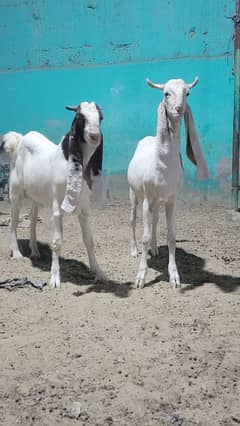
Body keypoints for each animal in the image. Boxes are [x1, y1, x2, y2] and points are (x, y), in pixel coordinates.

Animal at [0, 103, 106, 288]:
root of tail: (20, 139)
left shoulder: (84, 208)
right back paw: (17, 253)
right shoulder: (57, 207)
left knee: (32, 218)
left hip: (36, 195)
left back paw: (35, 251)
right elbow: (57, 242)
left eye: (100, 117)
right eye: (79, 117)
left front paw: (98, 272)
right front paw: (55, 279)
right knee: (13, 220)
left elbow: (89, 240)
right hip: (15, 191)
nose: (94, 136)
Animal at [127, 77, 208, 290]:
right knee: (132, 219)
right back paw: (134, 250)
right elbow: (145, 236)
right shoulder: (148, 197)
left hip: (158, 200)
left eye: (187, 92)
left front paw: (175, 277)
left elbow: (171, 237)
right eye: (166, 93)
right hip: (134, 192)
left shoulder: (171, 197)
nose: (179, 108)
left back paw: (155, 249)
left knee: (155, 220)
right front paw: (140, 278)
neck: (162, 167)